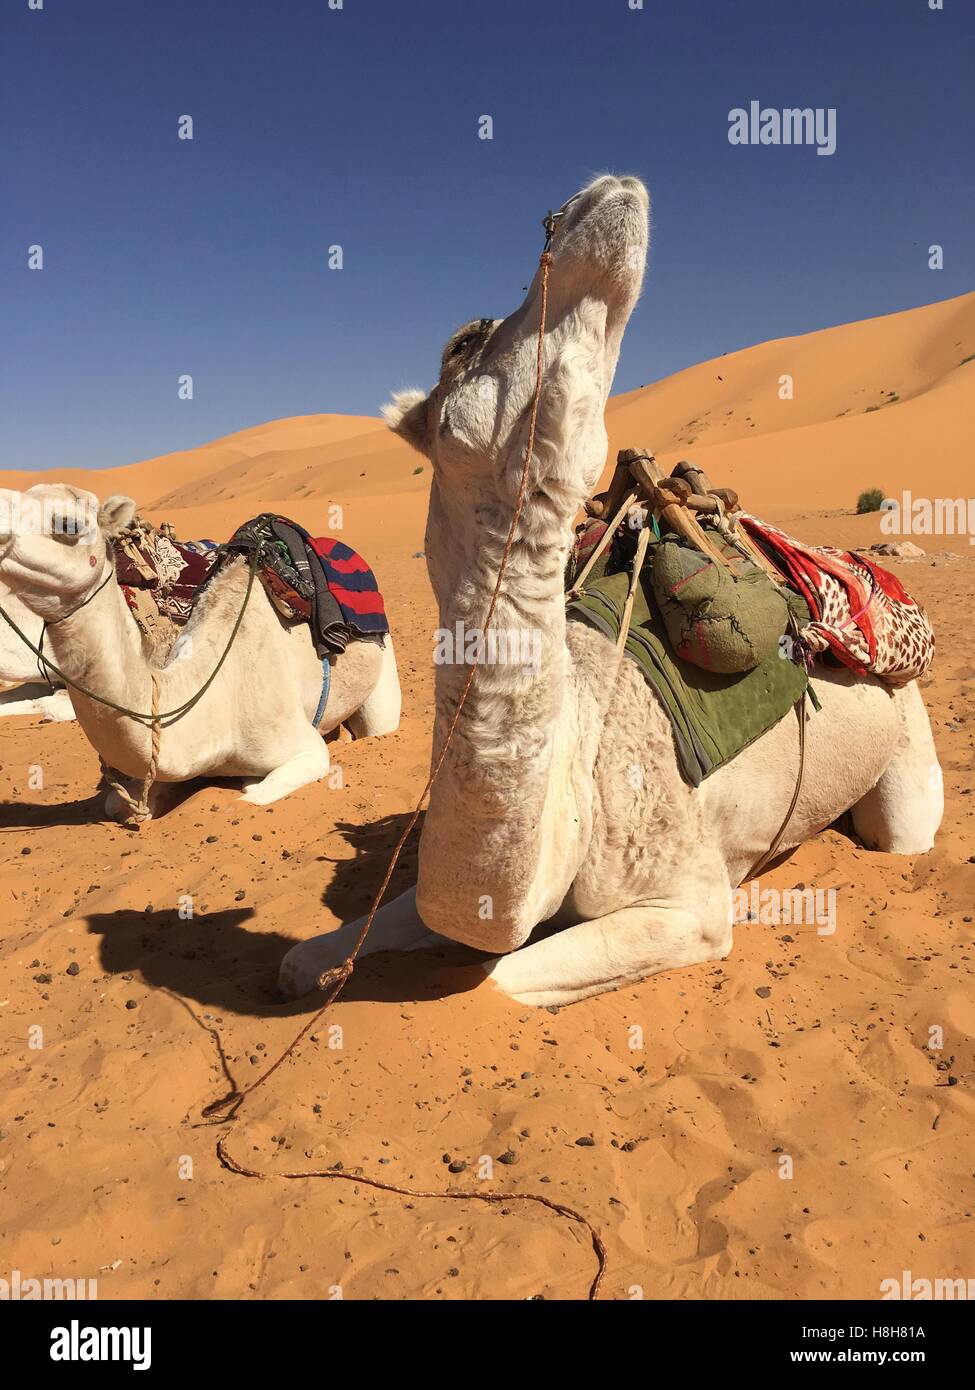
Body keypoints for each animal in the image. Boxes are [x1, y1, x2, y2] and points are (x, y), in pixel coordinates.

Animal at [278, 173, 943, 1007]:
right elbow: (317, 955)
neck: (574, 782)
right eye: (464, 341)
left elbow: (496, 983)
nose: (595, 195)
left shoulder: (689, 904)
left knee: (902, 830)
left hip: (906, 738)